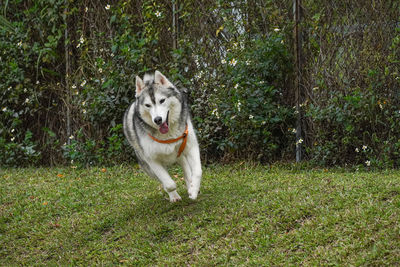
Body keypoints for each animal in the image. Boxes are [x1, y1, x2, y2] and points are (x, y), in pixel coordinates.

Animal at [122, 70, 203, 202]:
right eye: (148, 105)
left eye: (162, 100)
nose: (158, 120)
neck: (168, 135)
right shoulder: (151, 159)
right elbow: (169, 184)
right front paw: (173, 193)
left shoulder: (191, 147)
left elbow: (197, 171)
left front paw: (193, 190)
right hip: (148, 166)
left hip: (180, 152)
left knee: (185, 166)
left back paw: (189, 183)